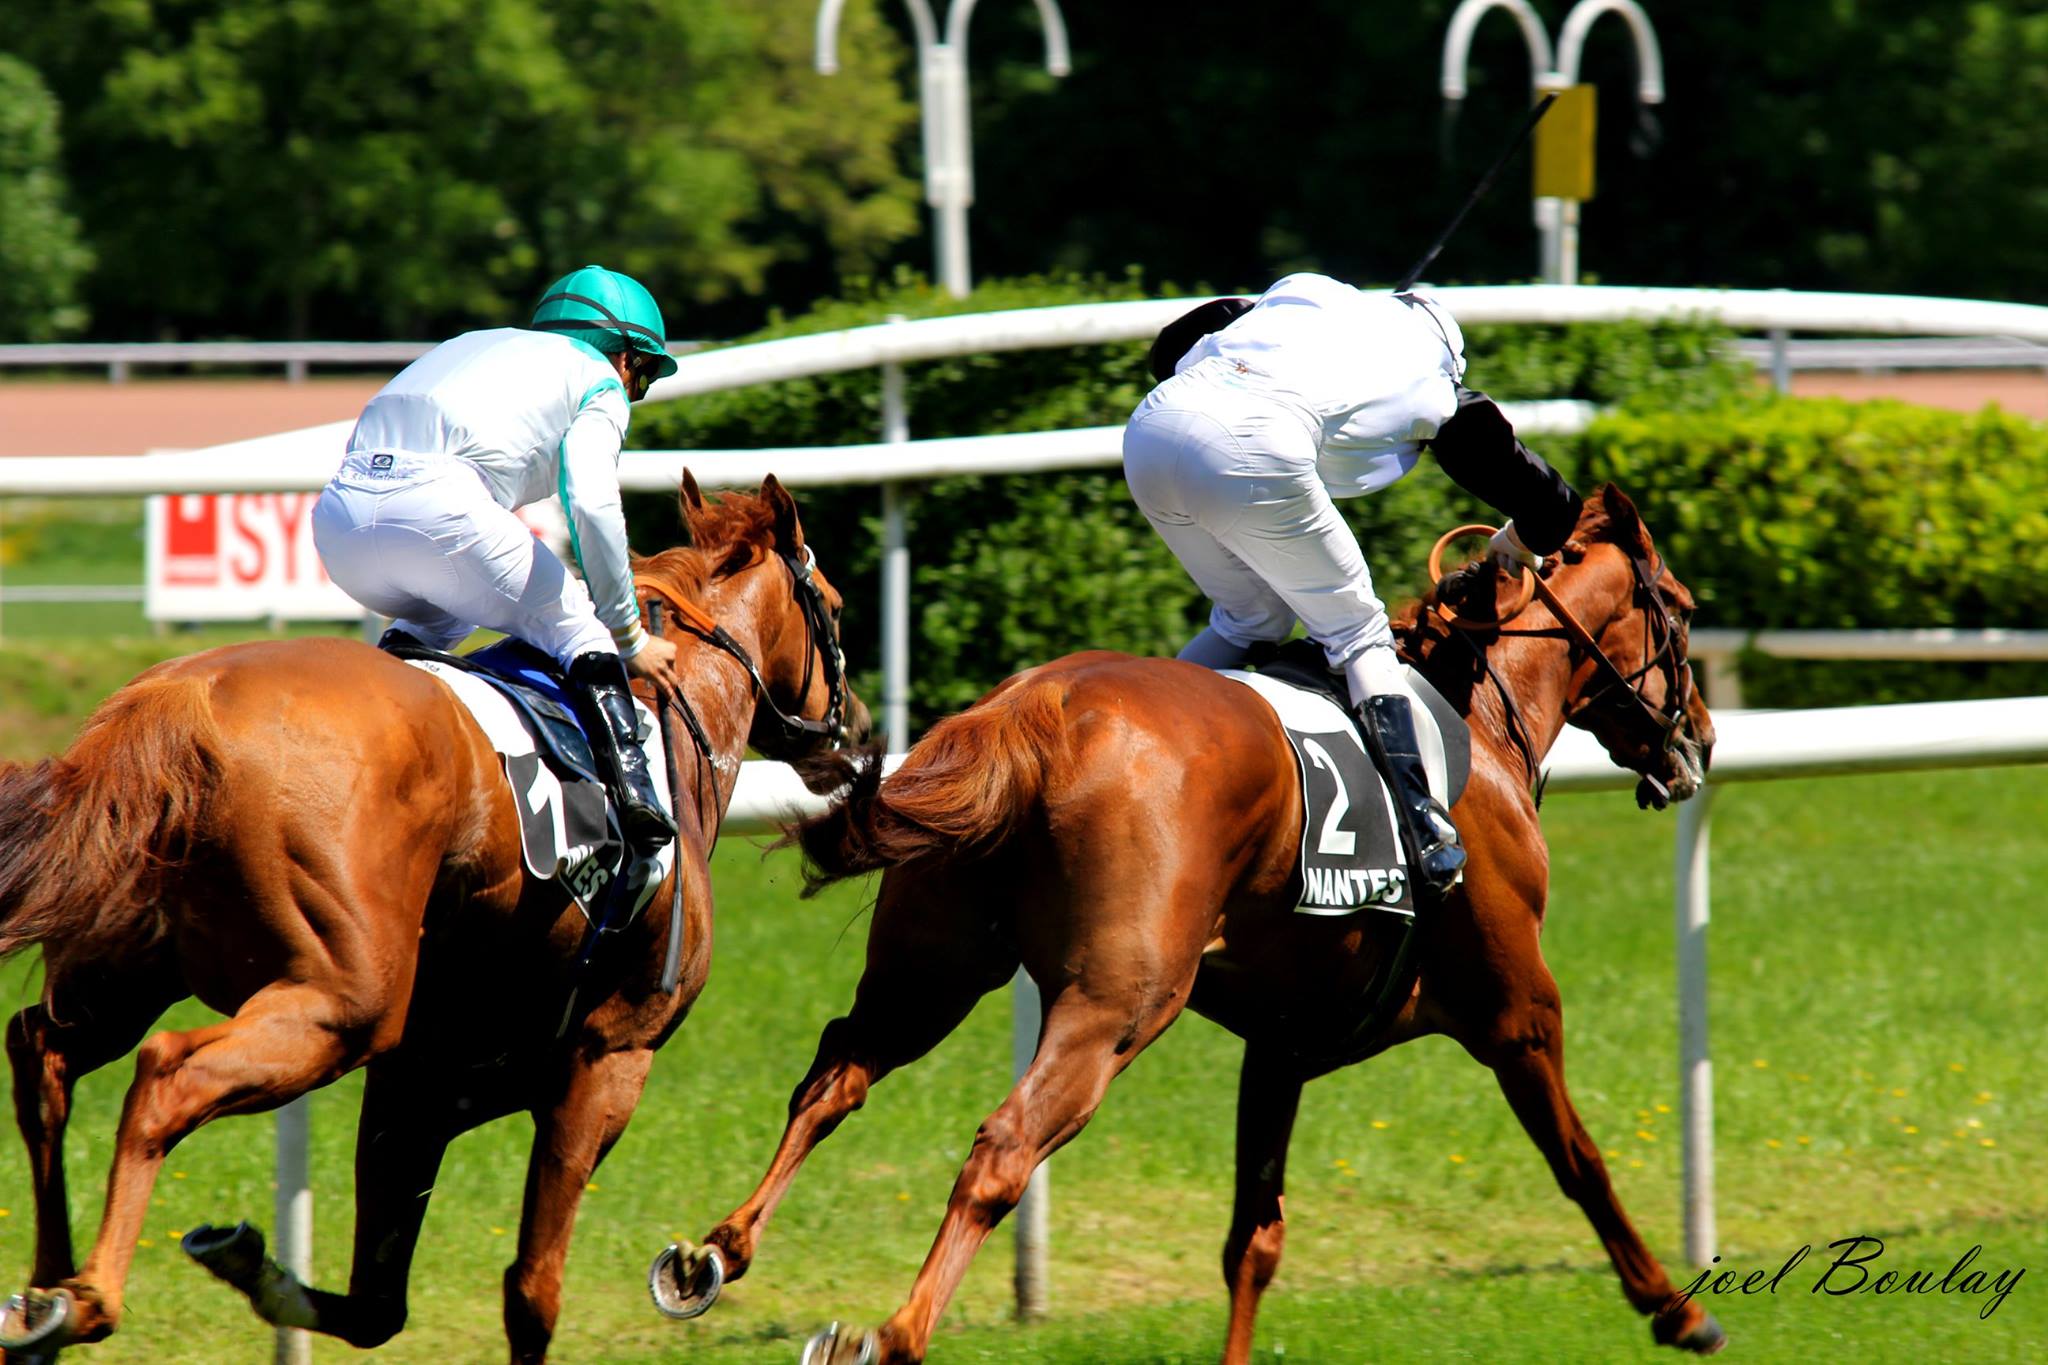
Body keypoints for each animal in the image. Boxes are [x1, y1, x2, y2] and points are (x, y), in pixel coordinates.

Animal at [0, 474, 864, 1358]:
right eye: (832, 605)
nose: (857, 726)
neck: (663, 723)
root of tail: (185, 696)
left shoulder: (424, 1076)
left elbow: (377, 1302)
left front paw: (252, 1262)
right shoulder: (608, 1056)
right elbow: (533, 1289)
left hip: (130, 966)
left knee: (42, 1050)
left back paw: (42, 1294)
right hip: (347, 1003)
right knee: (165, 1071)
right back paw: (88, 1296)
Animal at [663, 485, 1720, 1358]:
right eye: (1680, 606)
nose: (1701, 740)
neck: (1473, 724)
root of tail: (1030, 709)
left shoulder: (1282, 1045)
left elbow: (1253, 1237)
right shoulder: (1519, 1012)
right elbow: (1583, 1161)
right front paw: (1676, 1308)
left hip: (933, 967)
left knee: (836, 1072)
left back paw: (715, 1252)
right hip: (1121, 1001)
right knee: (1004, 1144)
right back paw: (891, 1334)